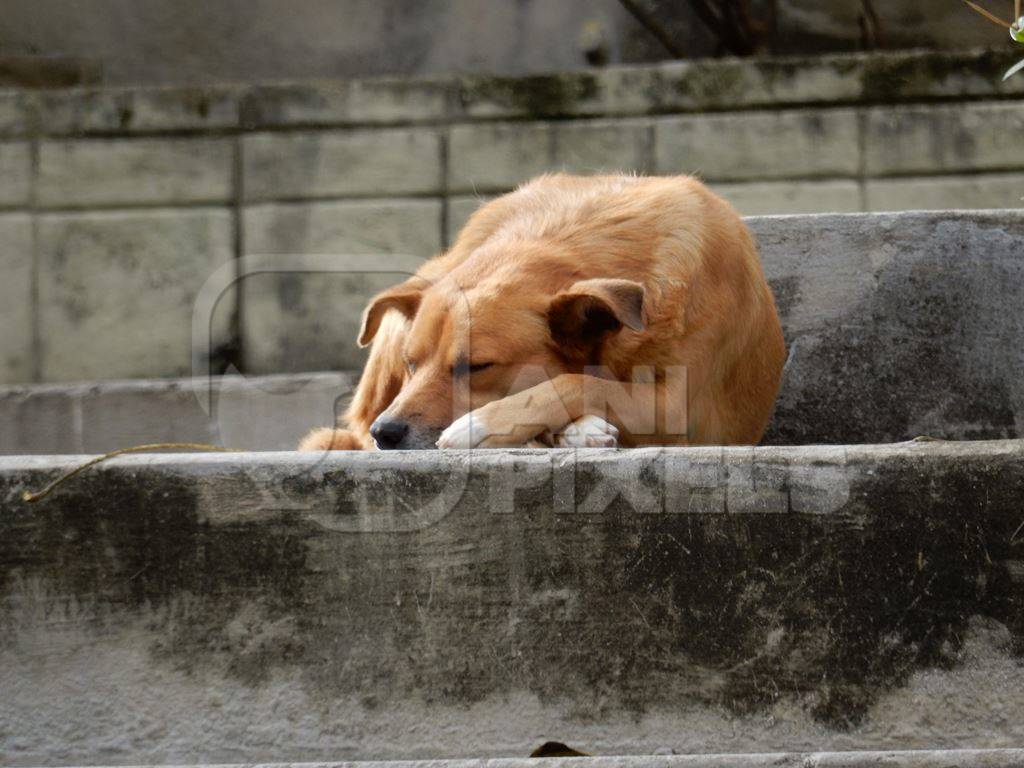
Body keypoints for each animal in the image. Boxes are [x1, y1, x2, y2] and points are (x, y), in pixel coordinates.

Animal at [296, 174, 782, 450]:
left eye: (476, 366)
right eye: (411, 364)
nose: (388, 433)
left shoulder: (682, 410)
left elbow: (574, 381)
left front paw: (478, 425)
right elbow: (577, 382)